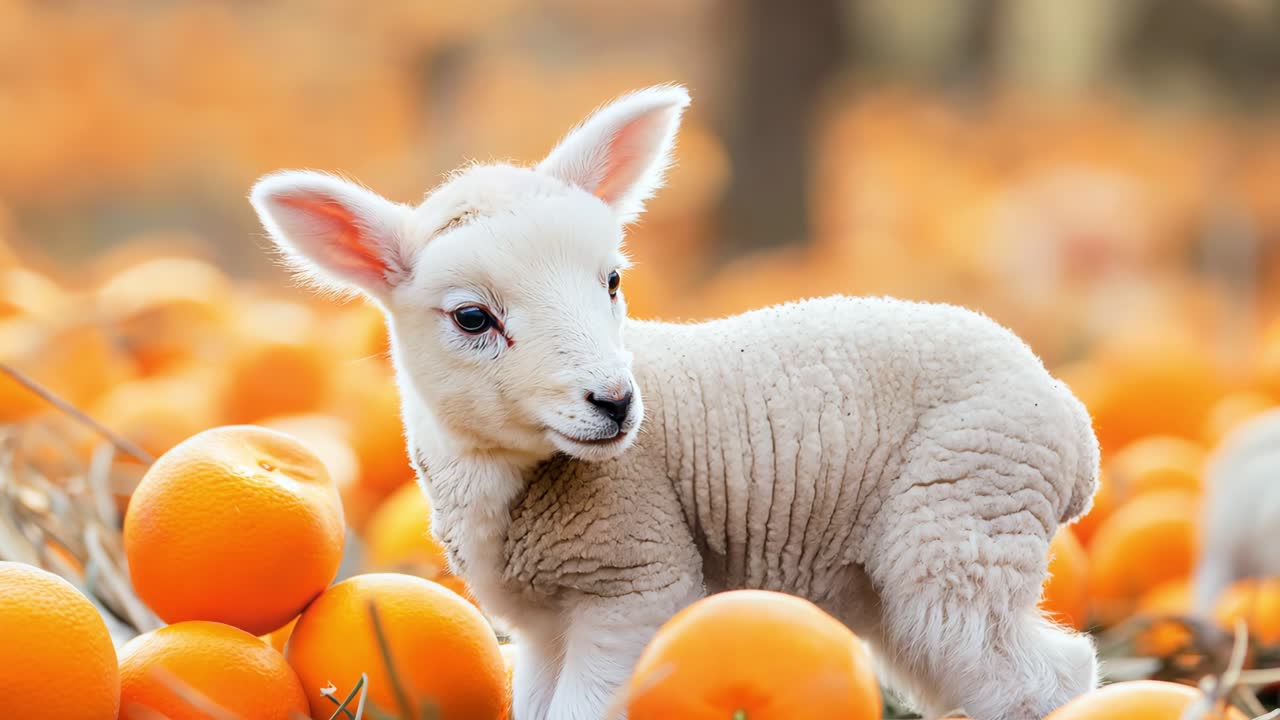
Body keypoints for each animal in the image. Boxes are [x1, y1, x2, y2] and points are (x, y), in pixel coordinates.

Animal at [249, 84, 1101, 720]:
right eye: (471, 318)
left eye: (612, 280)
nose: (617, 402)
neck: (509, 478)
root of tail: (1068, 416)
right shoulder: (542, 625)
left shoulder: (634, 581)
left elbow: (582, 708)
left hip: (962, 526)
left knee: (1044, 677)